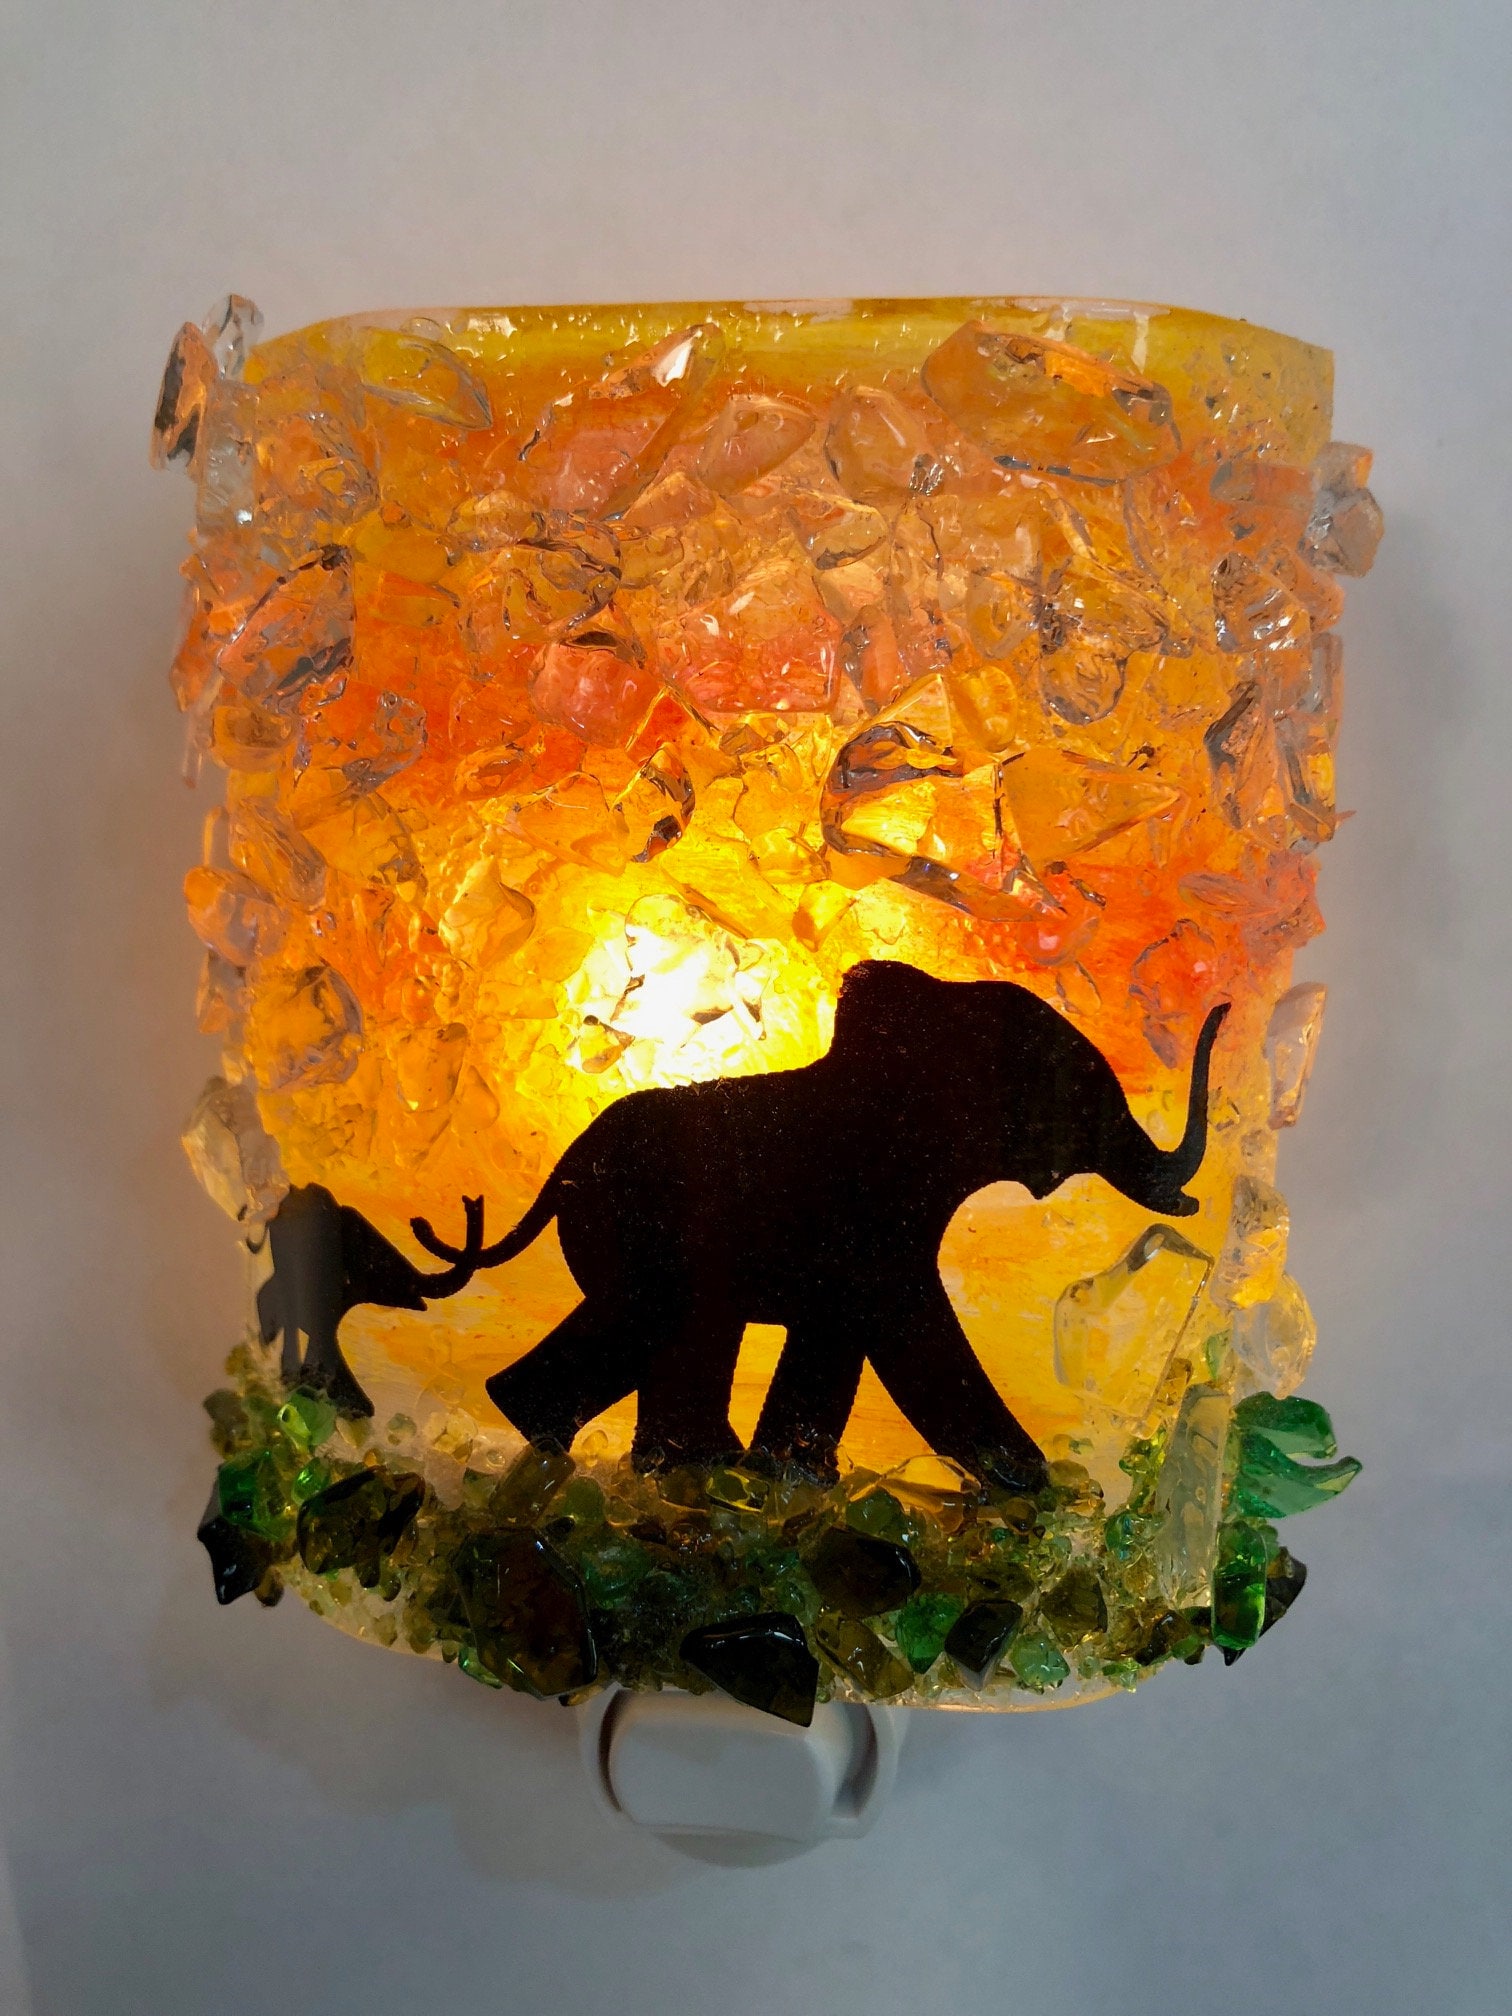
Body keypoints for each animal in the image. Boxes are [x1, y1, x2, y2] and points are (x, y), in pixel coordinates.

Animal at [438, 959, 1228, 1491]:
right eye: (1077, 1084)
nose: (1222, 1008)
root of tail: (560, 1169)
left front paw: (793, 1479)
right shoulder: (870, 1220)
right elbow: (906, 1326)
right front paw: (1026, 1485)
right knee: (665, 1325)